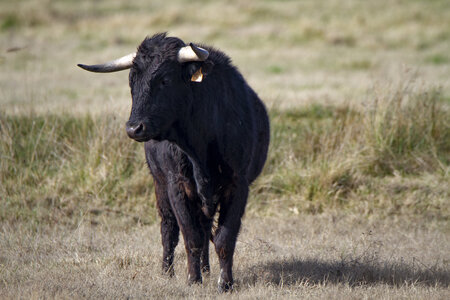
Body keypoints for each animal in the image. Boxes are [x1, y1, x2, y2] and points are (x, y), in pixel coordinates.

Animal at [78, 32, 270, 290]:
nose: (134, 128)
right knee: (168, 229)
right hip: (160, 186)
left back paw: (207, 269)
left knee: (205, 228)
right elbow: (191, 236)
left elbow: (224, 238)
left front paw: (225, 283)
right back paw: (167, 271)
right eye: (131, 82)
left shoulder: (237, 185)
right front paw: (193, 279)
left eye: (165, 80)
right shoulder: (176, 186)